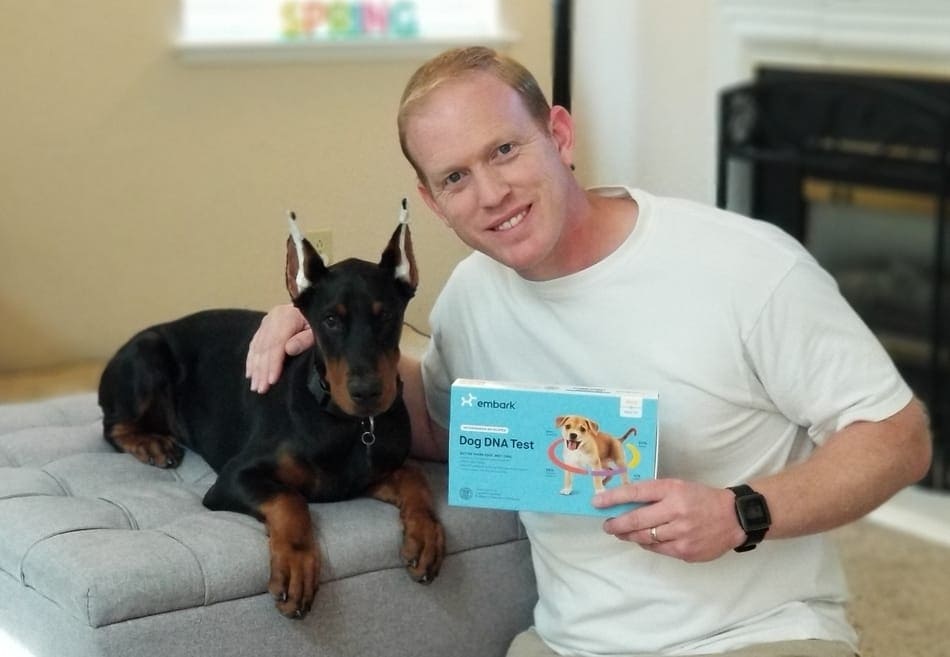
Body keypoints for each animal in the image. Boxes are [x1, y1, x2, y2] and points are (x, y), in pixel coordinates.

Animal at [98, 202, 448, 616]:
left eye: (387, 316)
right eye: (330, 320)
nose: (368, 393)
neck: (350, 424)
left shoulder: (366, 474)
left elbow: (414, 475)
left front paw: (425, 535)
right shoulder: (233, 477)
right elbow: (288, 498)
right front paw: (295, 566)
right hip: (148, 354)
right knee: (111, 427)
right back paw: (151, 443)